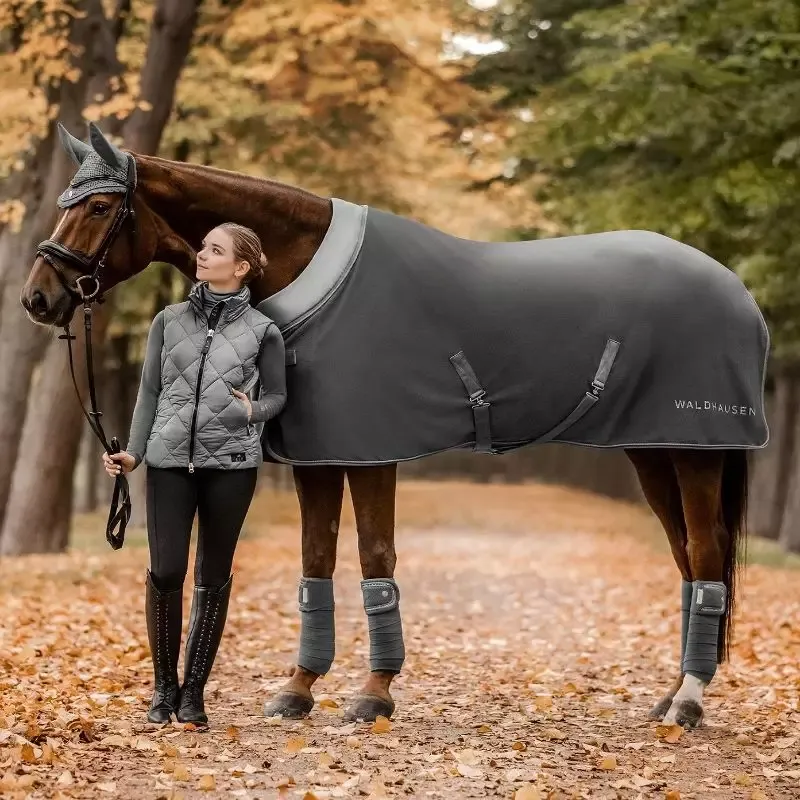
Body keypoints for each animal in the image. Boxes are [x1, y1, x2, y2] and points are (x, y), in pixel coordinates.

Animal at [20, 122, 767, 729]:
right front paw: (298, 689)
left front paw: (374, 694)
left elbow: (375, 559)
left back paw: (689, 703)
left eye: (97, 206)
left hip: (695, 451)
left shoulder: (371, 451)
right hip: (656, 450)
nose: (37, 298)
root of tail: (735, 289)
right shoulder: (319, 457)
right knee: (687, 558)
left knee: (705, 557)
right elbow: (315, 563)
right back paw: (671, 697)